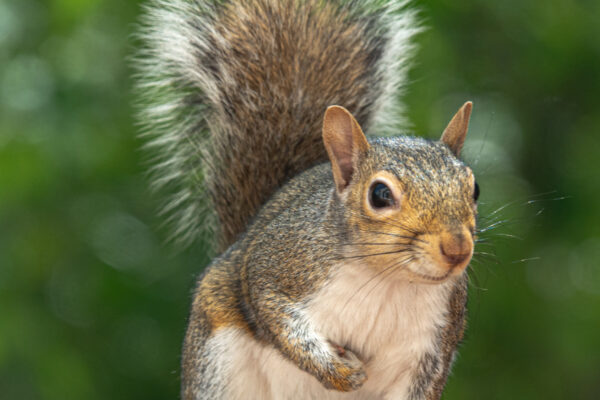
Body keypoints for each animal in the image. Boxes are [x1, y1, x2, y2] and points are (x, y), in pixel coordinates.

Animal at [135, 0, 478, 396]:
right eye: (379, 195)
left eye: (474, 189)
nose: (457, 249)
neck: (388, 280)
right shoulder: (278, 262)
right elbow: (275, 315)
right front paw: (337, 371)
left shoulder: (432, 350)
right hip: (216, 365)